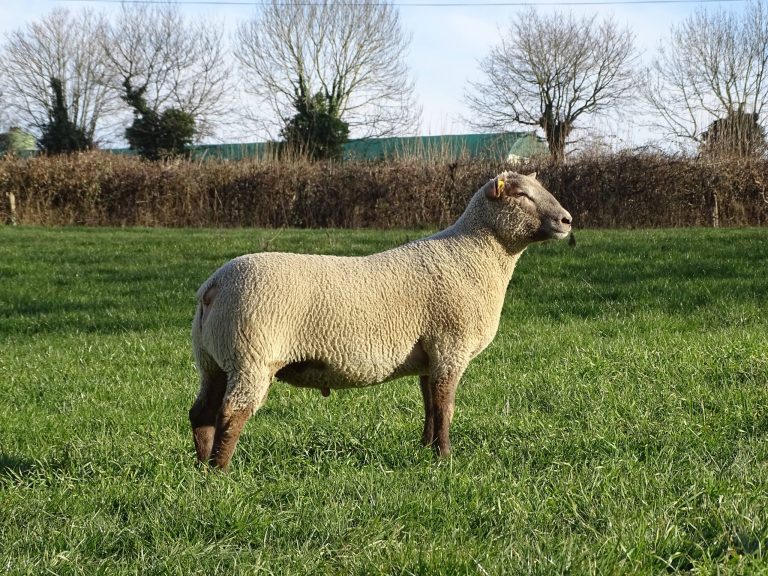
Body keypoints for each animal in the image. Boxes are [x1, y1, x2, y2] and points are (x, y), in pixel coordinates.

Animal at [190, 172, 572, 469]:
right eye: (521, 194)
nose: (567, 221)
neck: (473, 255)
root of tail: (213, 285)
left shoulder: (430, 354)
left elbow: (429, 404)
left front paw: (426, 451)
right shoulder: (450, 347)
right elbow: (445, 407)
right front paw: (445, 458)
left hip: (213, 360)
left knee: (201, 414)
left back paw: (203, 469)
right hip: (251, 356)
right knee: (231, 414)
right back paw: (223, 472)